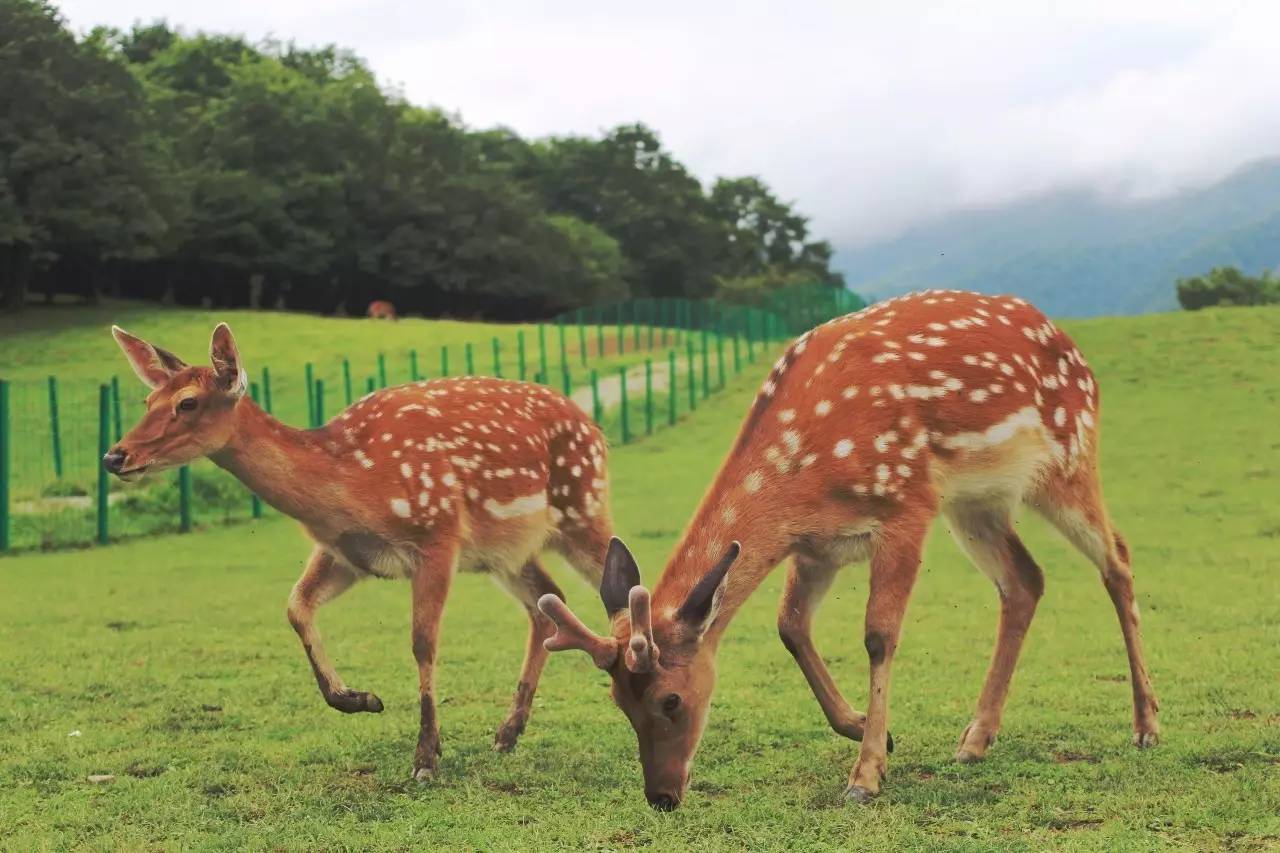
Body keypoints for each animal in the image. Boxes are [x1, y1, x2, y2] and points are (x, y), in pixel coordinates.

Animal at [104, 320, 614, 778]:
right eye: (148, 400)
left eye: (187, 402)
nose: (114, 456)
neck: (353, 484)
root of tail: (595, 428)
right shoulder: (346, 553)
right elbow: (296, 606)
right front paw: (359, 699)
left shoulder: (438, 534)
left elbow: (422, 642)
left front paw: (426, 757)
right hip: (506, 552)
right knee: (548, 600)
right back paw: (508, 732)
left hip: (583, 508)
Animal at [540, 289, 1162, 809]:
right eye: (618, 701)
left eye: (670, 700)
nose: (662, 796)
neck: (808, 478)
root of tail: (1075, 349)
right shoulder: (818, 546)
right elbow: (790, 626)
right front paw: (872, 730)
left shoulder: (906, 506)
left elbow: (878, 635)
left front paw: (865, 776)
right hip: (975, 503)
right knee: (1026, 579)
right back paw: (975, 739)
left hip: (1067, 458)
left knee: (1117, 556)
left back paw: (1147, 725)